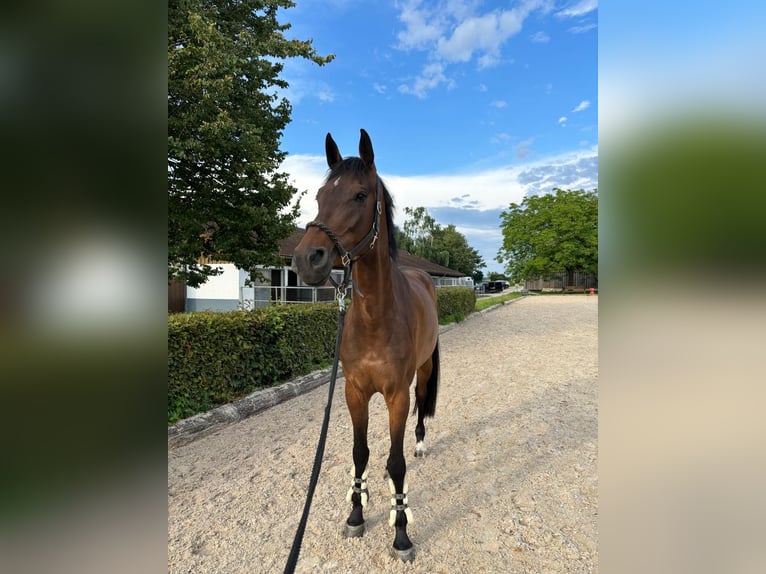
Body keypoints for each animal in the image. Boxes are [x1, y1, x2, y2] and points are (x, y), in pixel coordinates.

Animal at [292, 127, 440, 564]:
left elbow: (397, 462)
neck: (376, 316)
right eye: (319, 196)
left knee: (420, 407)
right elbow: (361, 454)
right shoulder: (354, 392)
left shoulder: (395, 396)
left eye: (359, 195)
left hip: (423, 370)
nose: (307, 259)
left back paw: (420, 443)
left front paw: (401, 533)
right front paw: (356, 515)